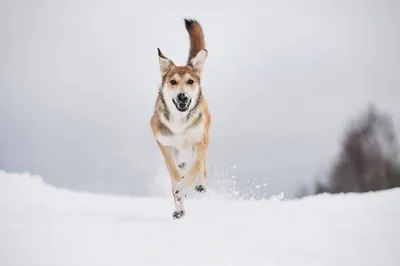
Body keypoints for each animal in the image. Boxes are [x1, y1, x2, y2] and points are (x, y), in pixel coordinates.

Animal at [151, 18, 212, 218]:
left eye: (190, 81)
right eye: (173, 82)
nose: (182, 97)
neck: (179, 122)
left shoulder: (200, 142)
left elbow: (195, 167)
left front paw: (184, 187)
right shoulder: (164, 143)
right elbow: (174, 172)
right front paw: (179, 191)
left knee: (201, 167)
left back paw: (198, 185)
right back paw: (179, 209)